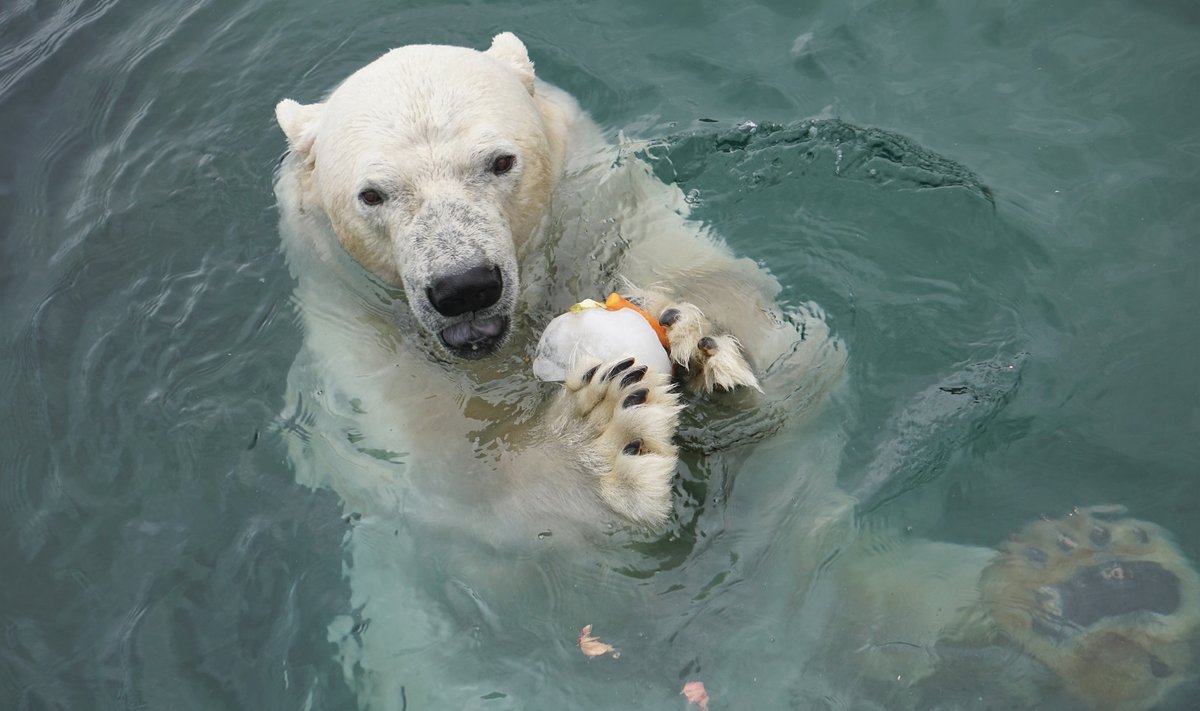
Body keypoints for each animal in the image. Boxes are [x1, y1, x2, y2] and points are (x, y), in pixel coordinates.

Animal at [276, 33, 1200, 711]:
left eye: (498, 161)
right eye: (373, 193)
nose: (463, 284)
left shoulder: (621, 214)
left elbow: (797, 356)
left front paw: (698, 345)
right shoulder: (376, 387)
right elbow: (476, 519)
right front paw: (611, 431)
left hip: (823, 575)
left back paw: (1101, 587)